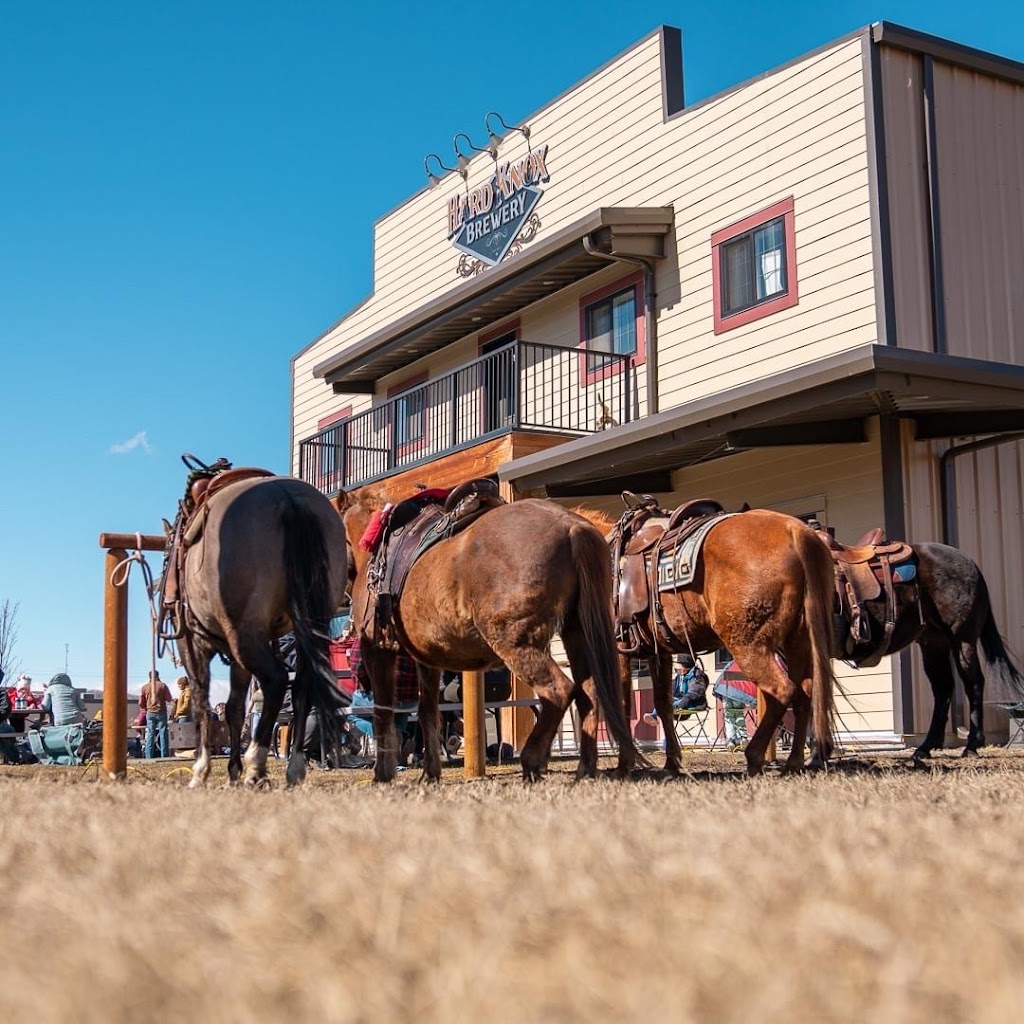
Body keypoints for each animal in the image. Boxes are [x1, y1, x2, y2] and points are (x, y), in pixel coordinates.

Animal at [162, 475, 348, 786]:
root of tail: (289, 499)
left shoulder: (192, 644)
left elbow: (201, 702)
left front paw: (201, 770)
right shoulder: (237, 659)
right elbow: (234, 709)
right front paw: (232, 771)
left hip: (245, 635)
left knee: (276, 680)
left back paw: (255, 765)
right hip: (306, 626)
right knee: (303, 686)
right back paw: (293, 767)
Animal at [339, 487, 634, 782]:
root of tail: (571, 525)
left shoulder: (378, 649)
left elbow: (382, 711)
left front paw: (383, 774)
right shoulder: (427, 659)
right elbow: (428, 713)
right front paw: (430, 773)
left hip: (514, 641)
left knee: (558, 691)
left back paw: (532, 760)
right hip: (576, 633)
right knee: (589, 693)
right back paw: (585, 768)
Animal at [581, 501, 835, 774]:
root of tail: (795, 531)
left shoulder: (617, 647)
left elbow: (621, 704)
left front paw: (624, 765)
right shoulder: (659, 652)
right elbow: (663, 703)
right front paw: (671, 763)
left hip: (748, 643)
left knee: (781, 690)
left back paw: (754, 755)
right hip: (797, 641)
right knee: (804, 695)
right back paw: (794, 761)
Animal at [835, 540, 1019, 757]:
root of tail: (971, 564)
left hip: (962, 640)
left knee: (973, 684)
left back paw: (972, 745)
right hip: (934, 644)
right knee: (943, 688)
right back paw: (926, 747)